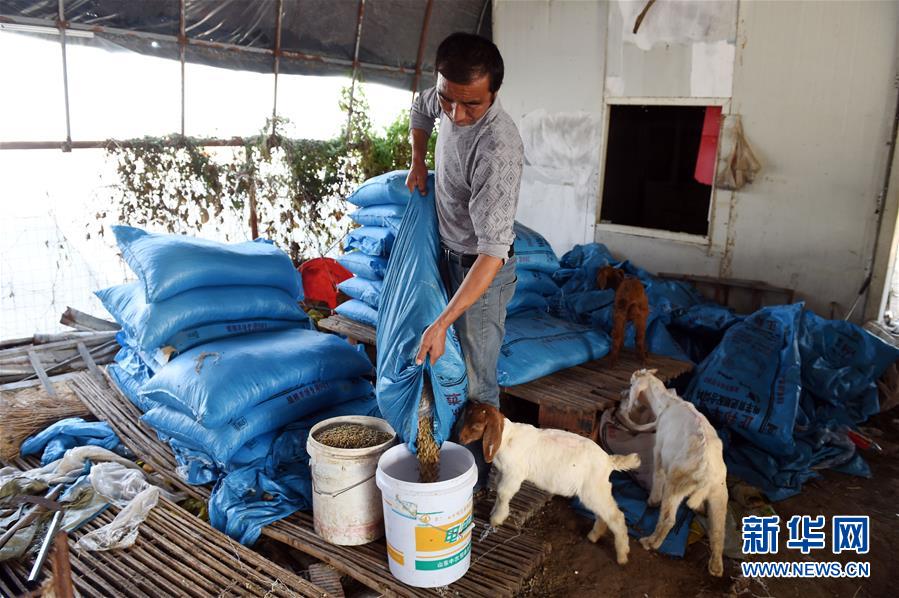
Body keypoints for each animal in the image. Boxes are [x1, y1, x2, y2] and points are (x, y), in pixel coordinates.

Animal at [464, 404, 640, 568]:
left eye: (477, 426)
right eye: (467, 415)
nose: (461, 438)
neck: (506, 438)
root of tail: (609, 461)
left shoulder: (513, 474)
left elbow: (503, 494)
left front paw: (496, 519)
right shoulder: (502, 473)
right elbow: (499, 491)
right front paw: (494, 512)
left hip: (595, 490)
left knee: (616, 516)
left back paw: (622, 556)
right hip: (595, 493)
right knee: (603, 515)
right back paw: (594, 536)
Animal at [624, 368, 728, 580]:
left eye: (631, 384)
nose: (623, 393)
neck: (669, 402)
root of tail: (707, 477)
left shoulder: (658, 451)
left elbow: (657, 474)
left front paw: (652, 501)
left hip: (676, 484)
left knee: (669, 519)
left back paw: (650, 542)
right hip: (720, 493)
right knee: (718, 529)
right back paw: (715, 567)